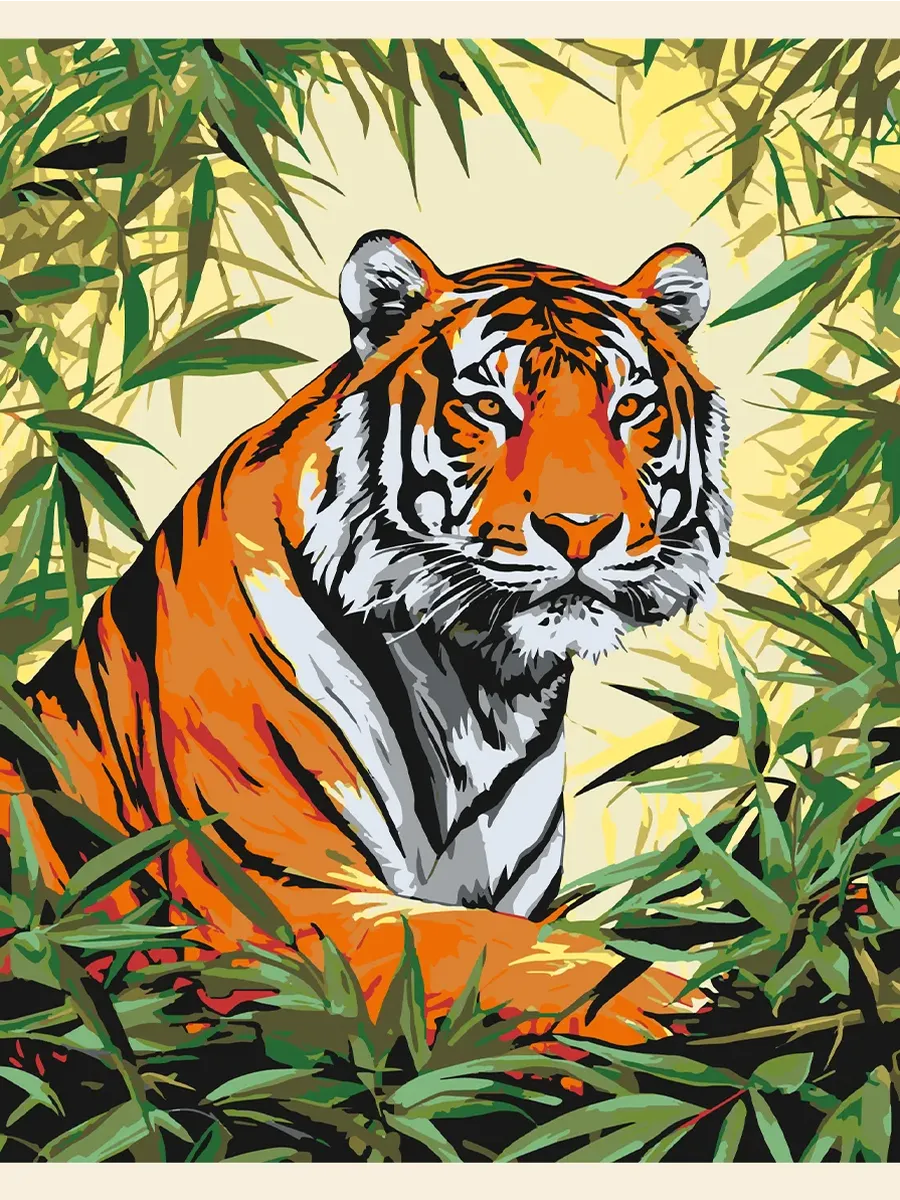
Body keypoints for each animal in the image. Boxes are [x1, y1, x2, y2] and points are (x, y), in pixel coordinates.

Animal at [0, 230, 731, 1045]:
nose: (582, 530)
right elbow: (490, 947)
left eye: (630, 408)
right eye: (489, 406)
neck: (483, 686)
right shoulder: (284, 902)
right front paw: (672, 992)